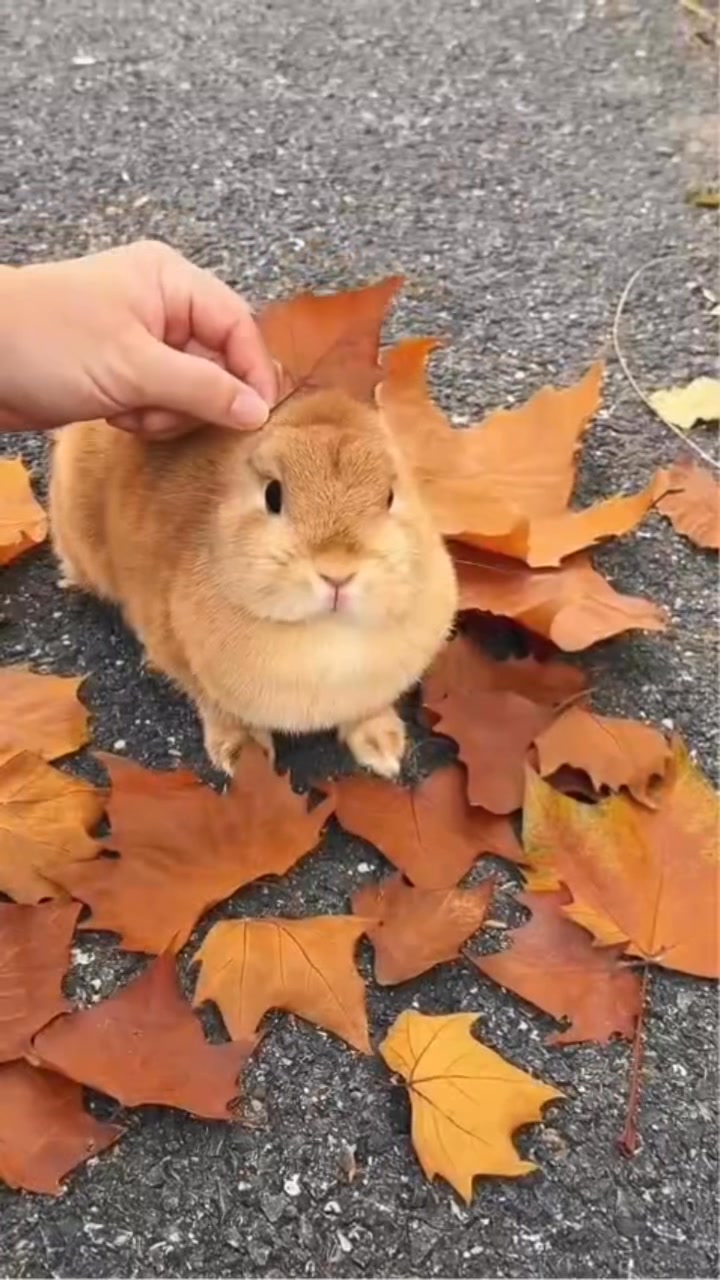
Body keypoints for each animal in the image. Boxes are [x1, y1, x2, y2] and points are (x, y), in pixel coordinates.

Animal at [49, 389, 458, 778]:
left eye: (390, 497)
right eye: (273, 495)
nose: (336, 572)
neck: (327, 633)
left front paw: (383, 748)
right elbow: (219, 709)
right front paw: (241, 753)